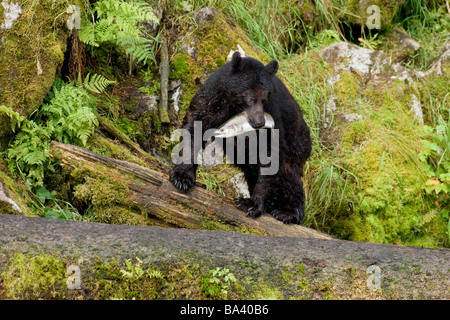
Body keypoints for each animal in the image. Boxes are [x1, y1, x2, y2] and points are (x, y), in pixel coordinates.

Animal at [171, 51, 312, 224]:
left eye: (265, 98)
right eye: (250, 98)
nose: (260, 122)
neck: (233, 106)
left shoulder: (274, 116)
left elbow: (272, 152)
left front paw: (251, 204)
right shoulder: (212, 100)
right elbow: (194, 125)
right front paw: (182, 177)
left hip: (297, 142)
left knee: (289, 174)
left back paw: (287, 212)